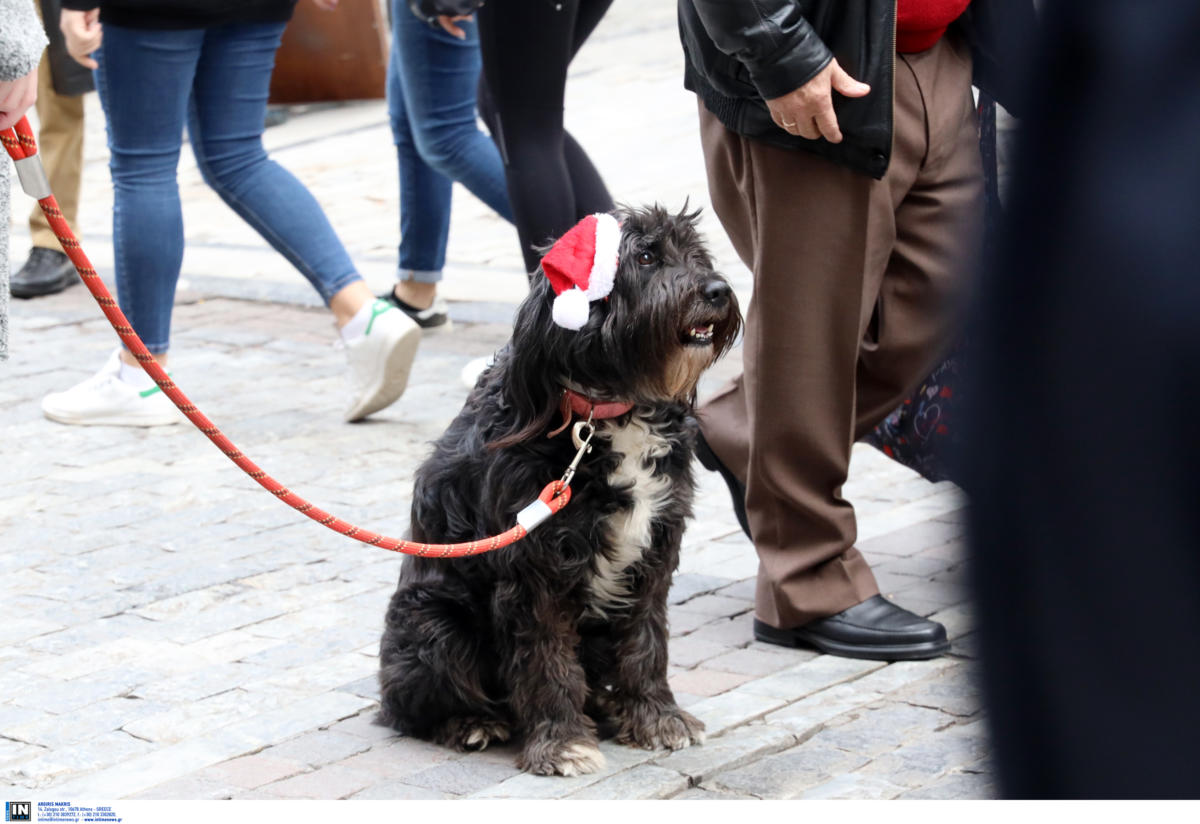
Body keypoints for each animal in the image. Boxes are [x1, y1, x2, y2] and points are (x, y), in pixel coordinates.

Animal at [379, 202, 744, 777]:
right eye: (645, 257)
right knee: (409, 705)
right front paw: (562, 742)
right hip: (435, 625)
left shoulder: (655, 549)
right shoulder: (535, 567)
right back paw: (470, 723)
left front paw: (655, 716)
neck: (605, 412)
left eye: (696, 253)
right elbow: (546, 658)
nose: (718, 290)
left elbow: (646, 640)